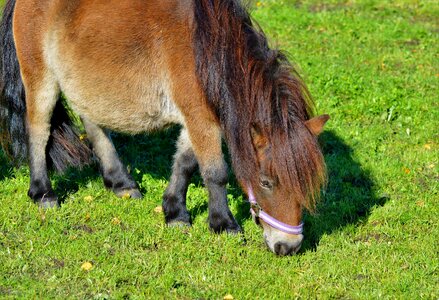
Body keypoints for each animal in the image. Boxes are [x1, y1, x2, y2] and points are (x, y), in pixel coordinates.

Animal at [0, 0, 328, 255]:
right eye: (266, 182)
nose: (288, 247)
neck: (206, 50)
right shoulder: (200, 118)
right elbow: (215, 172)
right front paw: (223, 224)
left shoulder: (197, 117)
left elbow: (185, 163)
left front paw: (175, 212)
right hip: (41, 78)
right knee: (39, 131)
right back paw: (43, 193)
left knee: (93, 125)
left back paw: (121, 183)